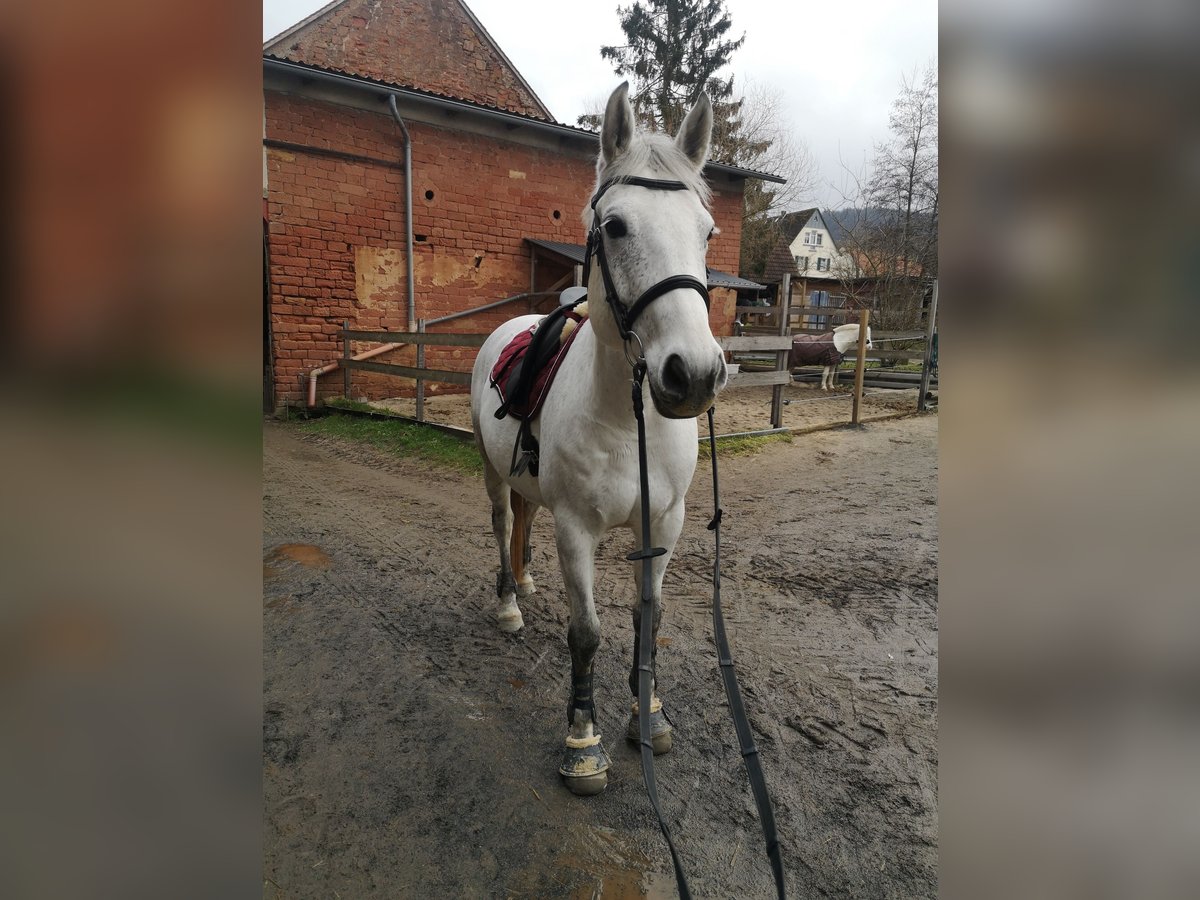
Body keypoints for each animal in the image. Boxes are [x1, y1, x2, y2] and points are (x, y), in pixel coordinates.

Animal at [472, 84, 724, 796]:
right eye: (615, 227)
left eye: (706, 232)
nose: (694, 374)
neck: (623, 418)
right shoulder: (576, 529)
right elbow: (585, 632)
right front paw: (583, 741)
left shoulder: (664, 523)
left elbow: (649, 621)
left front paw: (650, 717)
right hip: (492, 473)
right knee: (504, 523)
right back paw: (509, 602)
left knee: (523, 518)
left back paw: (525, 582)